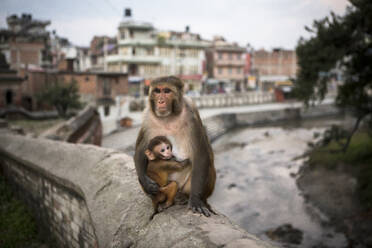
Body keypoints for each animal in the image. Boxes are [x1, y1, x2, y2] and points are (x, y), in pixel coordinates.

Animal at [134, 75, 217, 217]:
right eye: (157, 91)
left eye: (167, 91)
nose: (161, 101)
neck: (169, 117)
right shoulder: (147, 118)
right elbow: (140, 150)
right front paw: (146, 183)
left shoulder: (191, 116)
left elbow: (201, 155)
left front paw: (195, 199)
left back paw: (186, 197)